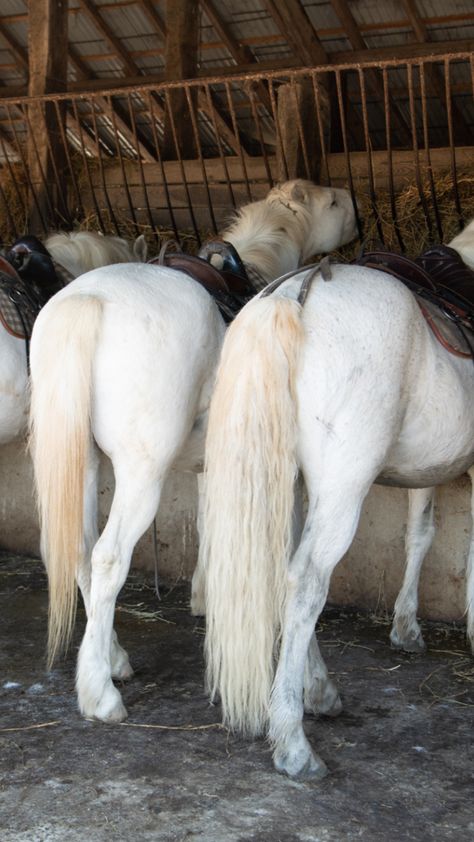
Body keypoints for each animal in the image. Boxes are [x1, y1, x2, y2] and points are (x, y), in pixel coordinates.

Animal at [27, 179, 358, 720]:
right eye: (331, 203)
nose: (355, 211)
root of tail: (89, 299)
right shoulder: (283, 475)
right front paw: (316, 682)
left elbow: (209, 524)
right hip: (142, 474)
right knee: (107, 557)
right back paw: (100, 695)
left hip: (81, 464)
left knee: (79, 550)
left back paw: (113, 659)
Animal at [202, 215, 474, 776]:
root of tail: (292, 298)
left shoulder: (428, 470)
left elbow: (420, 535)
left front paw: (406, 628)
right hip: (342, 490)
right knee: (307, 582)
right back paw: (293, 742)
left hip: (289, 486)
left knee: (285, 573)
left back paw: (319, 691)